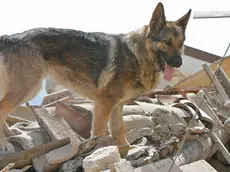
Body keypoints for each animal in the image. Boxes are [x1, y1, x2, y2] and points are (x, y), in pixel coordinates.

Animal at [0, 2, 190, 157]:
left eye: (181, 44)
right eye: (166, 41)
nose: (179, 63)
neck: (137, 55)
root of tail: (10, 37)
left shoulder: (116, 106)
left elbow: (119, 131)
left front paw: (124, 152)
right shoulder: (104, 104)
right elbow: (100, 134)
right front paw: (101, 152)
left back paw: (10, 134)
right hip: (28, 88)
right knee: (2, 108)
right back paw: (4, 144)